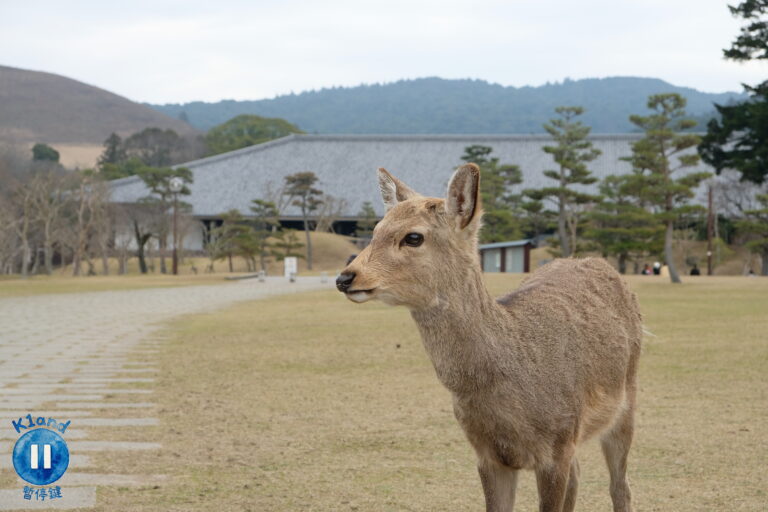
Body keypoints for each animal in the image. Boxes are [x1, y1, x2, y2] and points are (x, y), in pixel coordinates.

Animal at [336, 164, 643, 512]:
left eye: (413, 237)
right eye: (376, 229)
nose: (345, 277)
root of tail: (599, 263)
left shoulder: (557, 443)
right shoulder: (487, 454)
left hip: (626, 400)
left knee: (620, 485)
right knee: (579, 474)